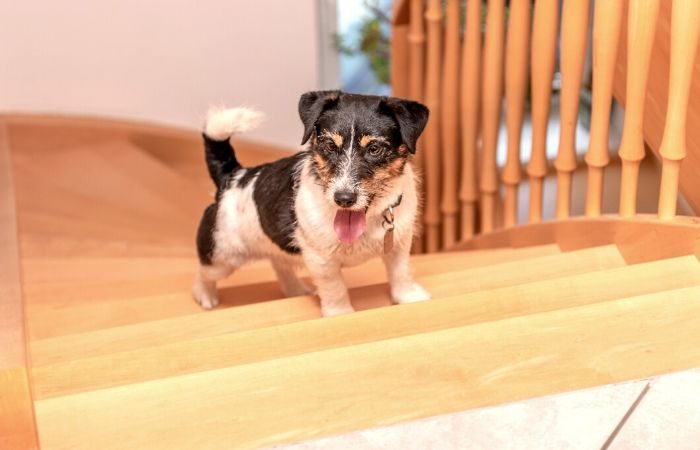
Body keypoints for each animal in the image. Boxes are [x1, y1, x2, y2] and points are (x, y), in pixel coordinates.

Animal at [193, 89, 432, 316]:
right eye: (330, 146)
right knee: (204, 273)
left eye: (374, 148)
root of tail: (233, 176)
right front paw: (340, 313)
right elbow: (335, 288)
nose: (343, 199)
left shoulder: (399, 245)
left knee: (279, 264)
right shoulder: (321, 260)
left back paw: (295, 290)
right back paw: (205, 297)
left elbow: (401, 273)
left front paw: (410, 298)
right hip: (222, 256)